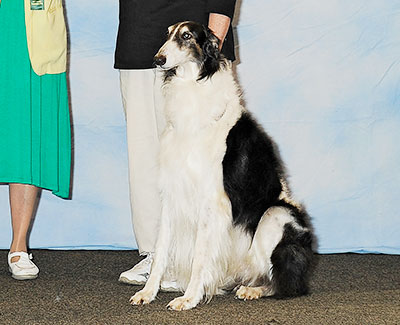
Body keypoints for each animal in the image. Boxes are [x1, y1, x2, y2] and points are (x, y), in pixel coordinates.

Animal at [130, 21, 314, 310]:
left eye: (187, 36)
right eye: (167, 34)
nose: (158, 59)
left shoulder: (212, 201)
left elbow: (200, 256)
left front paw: (189, 298)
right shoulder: (173, 193)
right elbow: (160, 251)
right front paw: (148, 292)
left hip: (275, 215)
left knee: (286, 284)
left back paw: (253, 290)